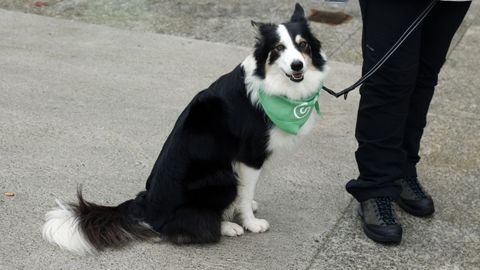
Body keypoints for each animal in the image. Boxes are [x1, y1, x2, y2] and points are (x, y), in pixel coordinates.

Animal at [43, 3, 326, 255]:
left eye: (303, 45)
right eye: (278, 48)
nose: (298, 65)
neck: (276, 87)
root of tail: (147, 206)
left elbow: (246, 194)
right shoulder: (249, 156)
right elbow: (246, 194)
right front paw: (250, 223)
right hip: (221, 176)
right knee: (183, 226)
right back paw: (226, 226)